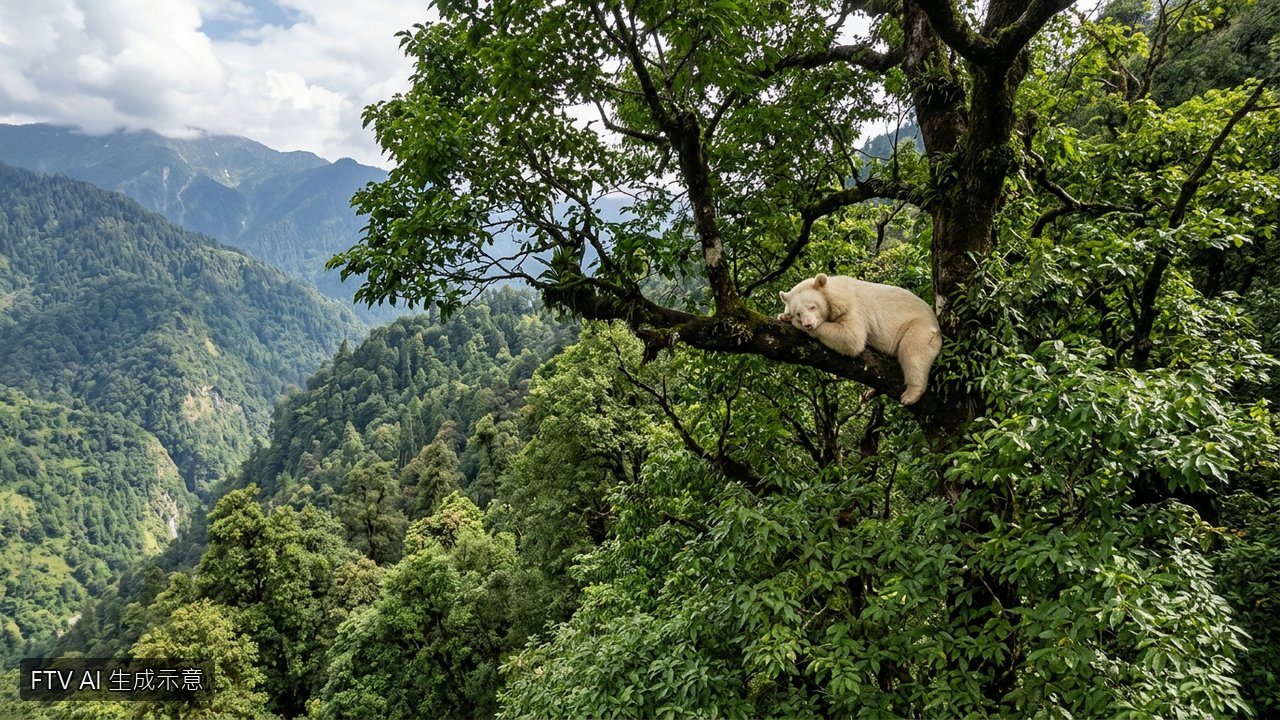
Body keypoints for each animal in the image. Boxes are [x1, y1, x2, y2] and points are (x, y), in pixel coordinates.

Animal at [778, 273, 942, 405]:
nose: (808, 324)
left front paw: (792, 322)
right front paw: (784, 316)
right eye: (798, 313)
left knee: (913, 352)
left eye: (812, 307)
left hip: (920, 328)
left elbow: (851, 337)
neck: (837, 292)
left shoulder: (853, 308)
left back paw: (910, 394)